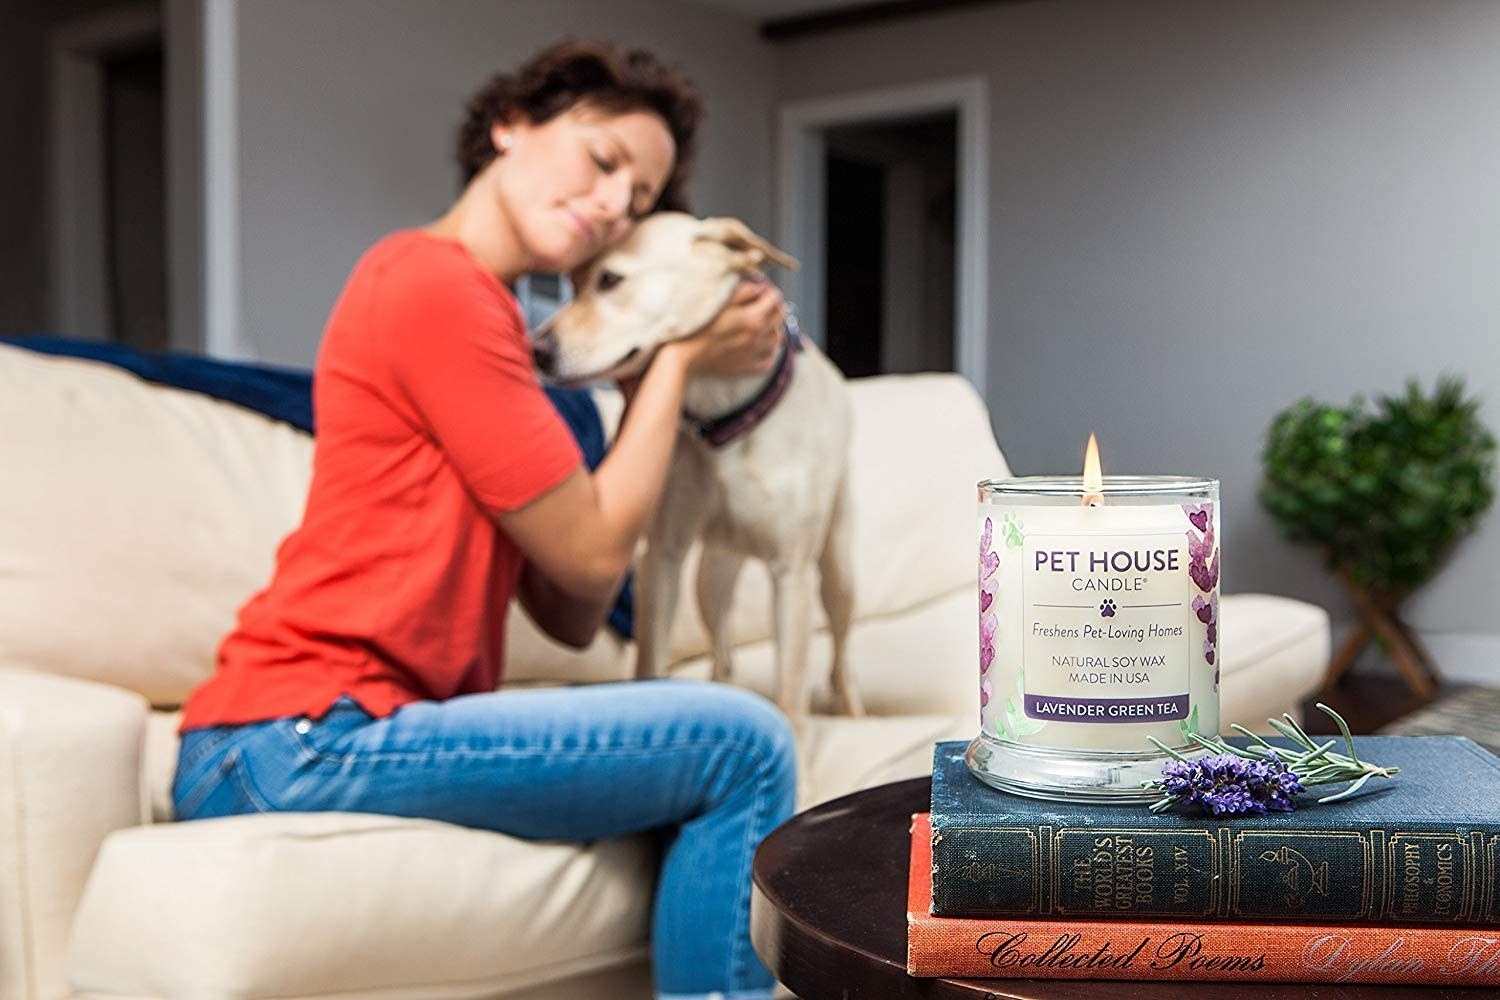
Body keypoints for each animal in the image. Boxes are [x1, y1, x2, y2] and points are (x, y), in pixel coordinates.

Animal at [531, 212, 864, 728]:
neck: (722, 416)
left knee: (842, 656)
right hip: (710, 579)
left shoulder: (790, 574)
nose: (537, 350)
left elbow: (791, 698)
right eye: (576, 283)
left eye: (609, 280)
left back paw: (851, 708)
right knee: (723, 654)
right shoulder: (662, 559)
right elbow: (650, 662)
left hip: (836, 572)